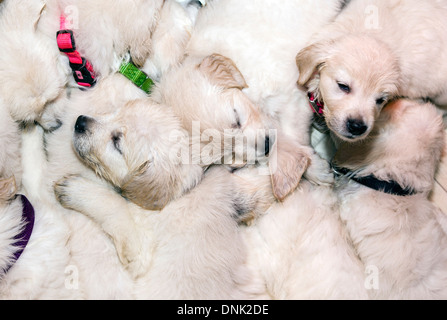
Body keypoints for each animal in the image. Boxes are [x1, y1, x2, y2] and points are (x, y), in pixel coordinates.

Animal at [53, 97, 264, 300]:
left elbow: (114, 204)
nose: (79, 122)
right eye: (115, 112)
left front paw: (75, 190)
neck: (182, 193)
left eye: (116, 142)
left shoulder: (140, 249)